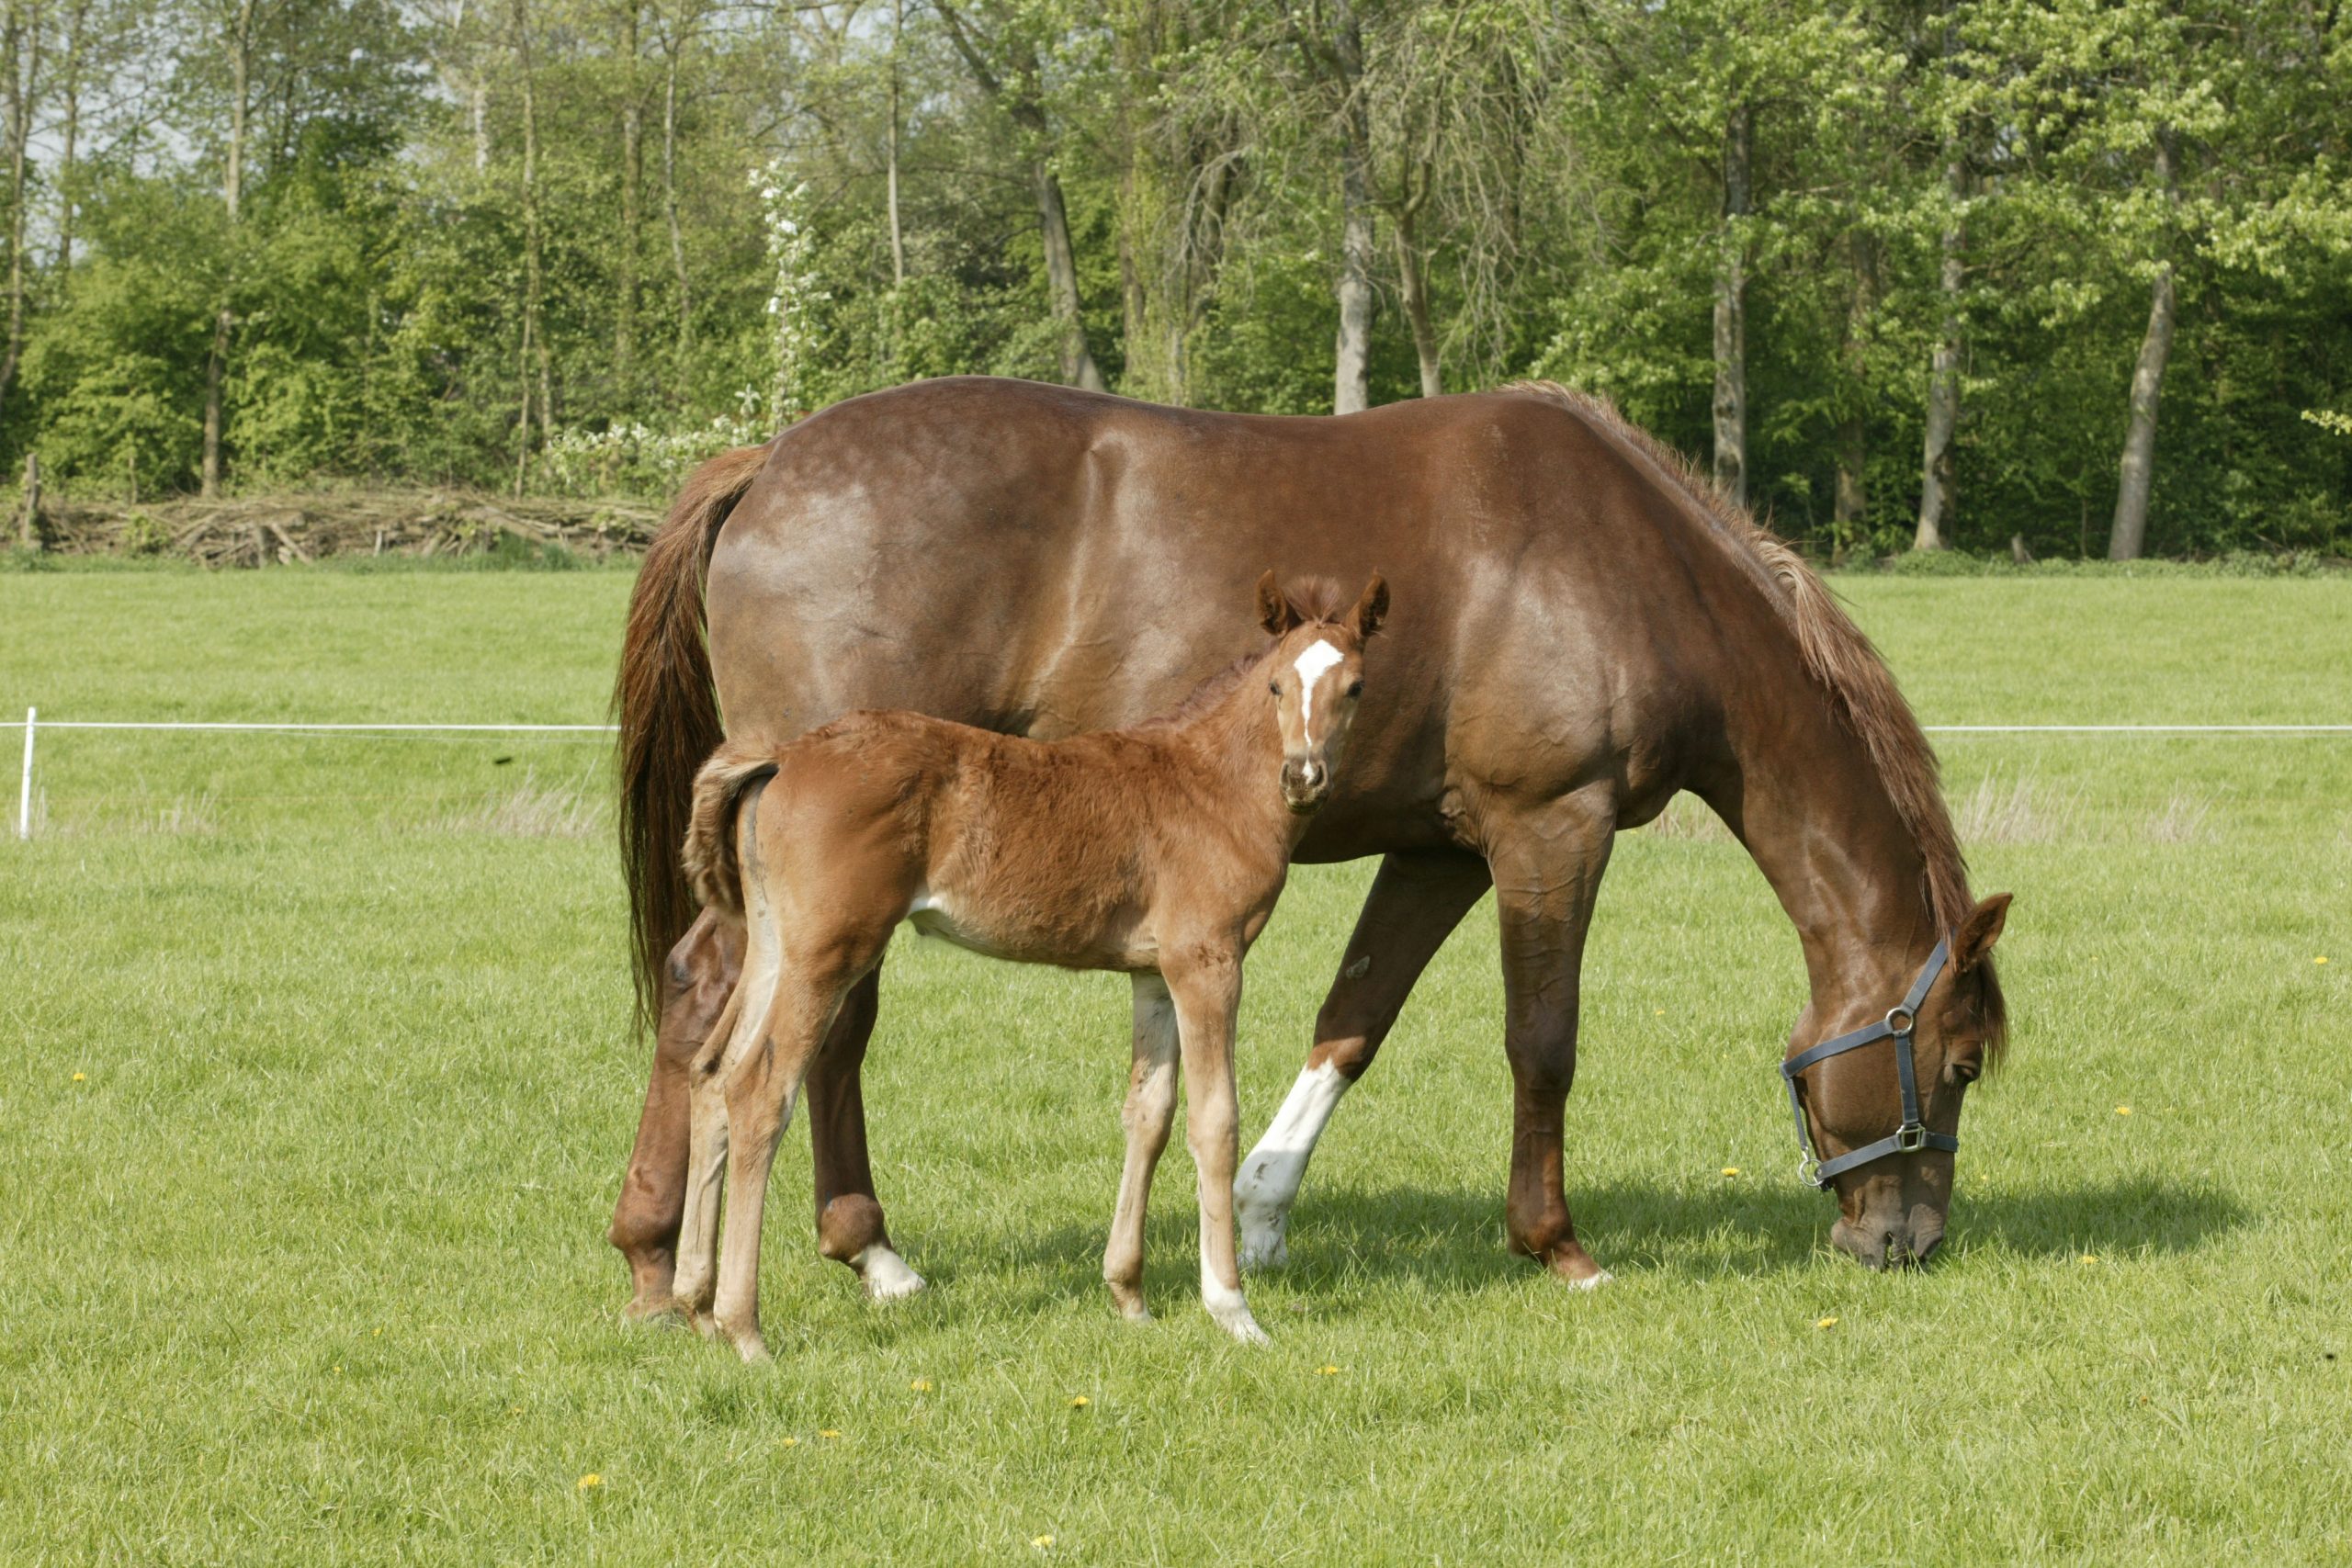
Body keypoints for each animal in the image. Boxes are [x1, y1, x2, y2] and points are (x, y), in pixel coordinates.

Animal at [662, 573, 1383, 1363]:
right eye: (1278, 685)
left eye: (1354, 686)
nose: (1303, 776)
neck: (1208, 784)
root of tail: (784, 755)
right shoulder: (1208, 961)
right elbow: (1213, 1121)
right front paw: (1232, 1309)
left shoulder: (1154, 974)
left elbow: (1149, 1114)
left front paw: (1130, 1295)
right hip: (827, 954)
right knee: (759, 1091)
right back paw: (744, 1326)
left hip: (773, 945)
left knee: (711, 1072)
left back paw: (695, 1303)